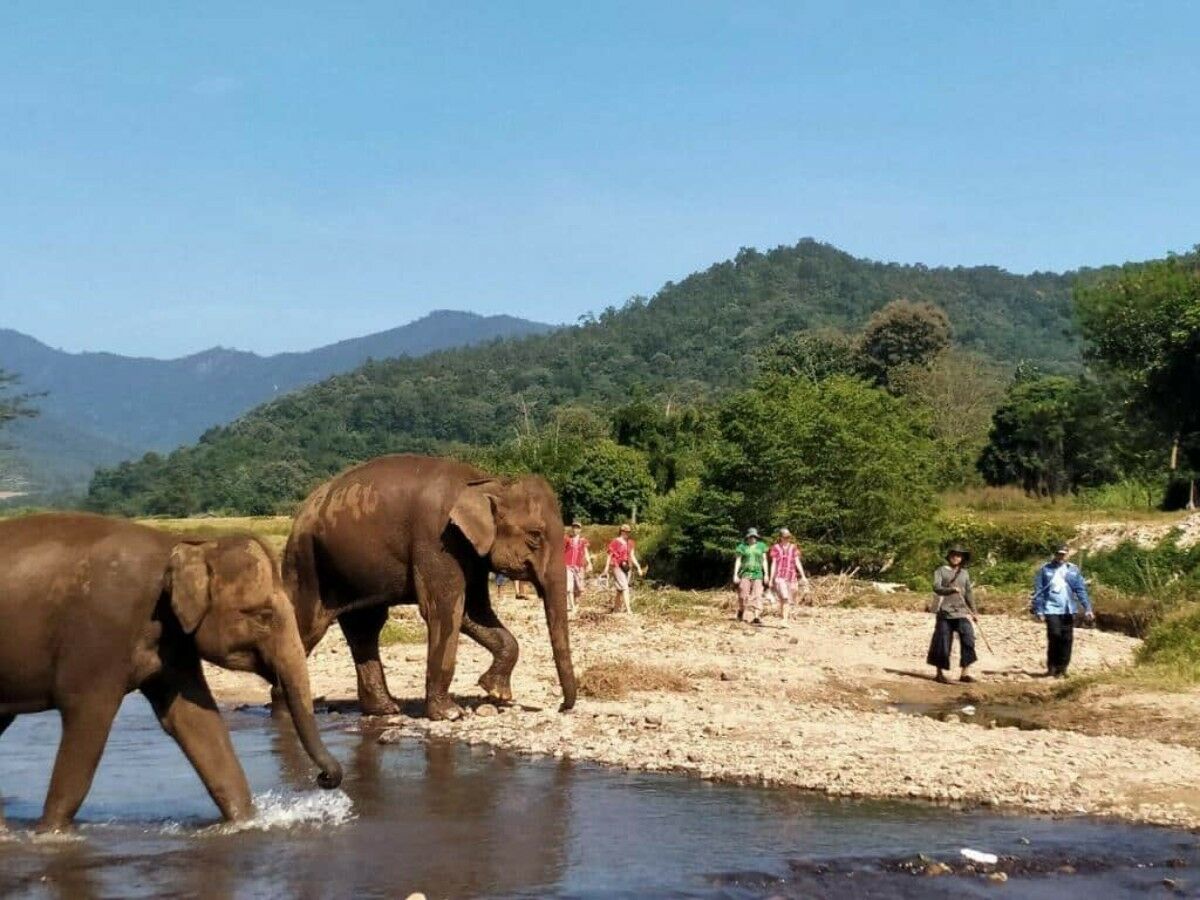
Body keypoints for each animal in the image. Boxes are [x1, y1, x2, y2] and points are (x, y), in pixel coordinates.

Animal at [0, 511, 343, 835]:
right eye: (263, 615)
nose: (324, 778)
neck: (184, 545)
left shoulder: (173, 643)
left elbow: (194, 719)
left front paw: (245, 822)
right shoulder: (102, 632)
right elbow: (88, 718)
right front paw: (51, 833)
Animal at [283, 453, 578, 724]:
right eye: (535, 536)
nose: (562, 707)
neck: (489, 482)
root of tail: (301, 513)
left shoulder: (470, 552)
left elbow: (473, 611)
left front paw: (496, 692)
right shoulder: (437, 539)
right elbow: (445, 610)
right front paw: (451, 714)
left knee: (365, 628)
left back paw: (385, 710)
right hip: (307, 563)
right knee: (307, 628)